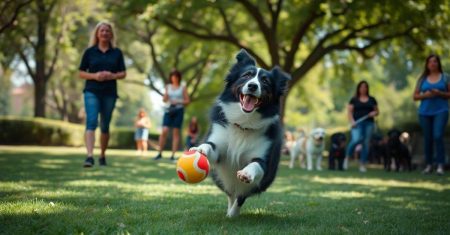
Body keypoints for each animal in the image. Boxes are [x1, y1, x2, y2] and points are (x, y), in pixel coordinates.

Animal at [192, 49, 290, 217]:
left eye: (265, 81)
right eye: (246, 75)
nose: (252, 86)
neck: (243, 124)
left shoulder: (264, 160)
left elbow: (256, 164)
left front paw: (246, 173)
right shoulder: (219, 147)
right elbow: (210, 146)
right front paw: (200, 149)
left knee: (240, 196)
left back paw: (233, 214)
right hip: (220, 179)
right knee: (230, 193)